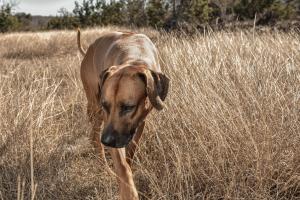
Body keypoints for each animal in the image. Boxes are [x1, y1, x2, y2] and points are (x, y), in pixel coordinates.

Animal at [77, 28, 169, 200]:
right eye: (106, 105)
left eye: (128, 107)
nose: (106, 141)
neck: (135, 59)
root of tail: (88, 51)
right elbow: (122, 166)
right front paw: (128, 191)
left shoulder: (139, 122)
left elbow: (131, 151)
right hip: (95, 106)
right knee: (94, 136)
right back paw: (104, 167)